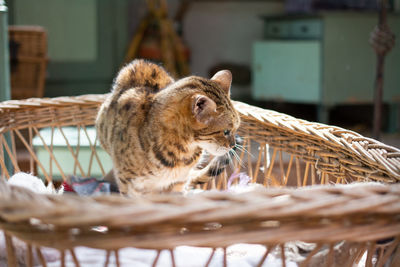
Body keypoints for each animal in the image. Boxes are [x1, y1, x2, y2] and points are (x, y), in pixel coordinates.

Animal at [96, 59, 241, 197]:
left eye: (236, 128)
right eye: (226, 131)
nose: (233, 145)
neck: (182, 153)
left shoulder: (179, 181)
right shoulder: (128, 182)